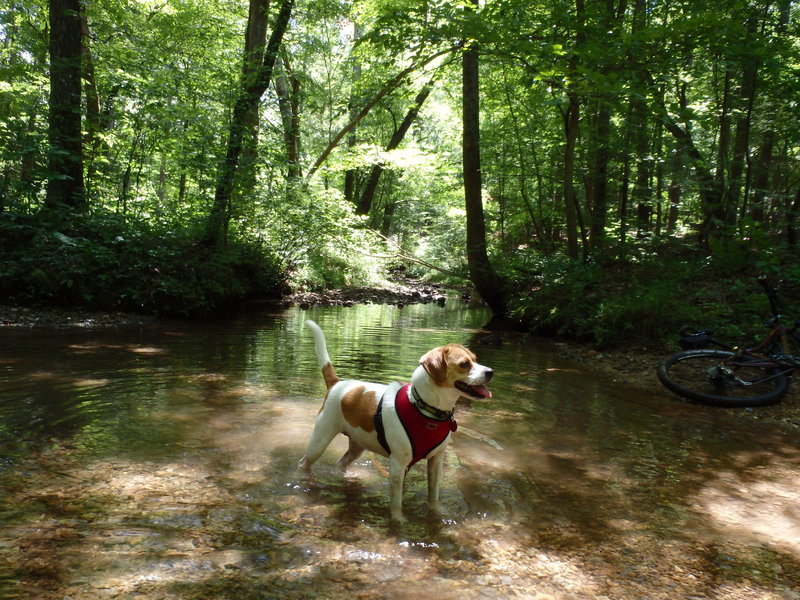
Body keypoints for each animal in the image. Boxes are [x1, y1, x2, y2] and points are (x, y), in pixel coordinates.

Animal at [296, 318, 490, 520]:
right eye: (464, 364)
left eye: (475, 359)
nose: (490, 372)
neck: (424, 408)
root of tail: (337, 384)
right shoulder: (397, 467)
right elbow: (397, 504)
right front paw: (398, 521)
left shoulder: (436, 462)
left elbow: (434, 496)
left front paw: (437, 512)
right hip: (319, 441)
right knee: (304, 463)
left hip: (357, 446)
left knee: (341, 463)